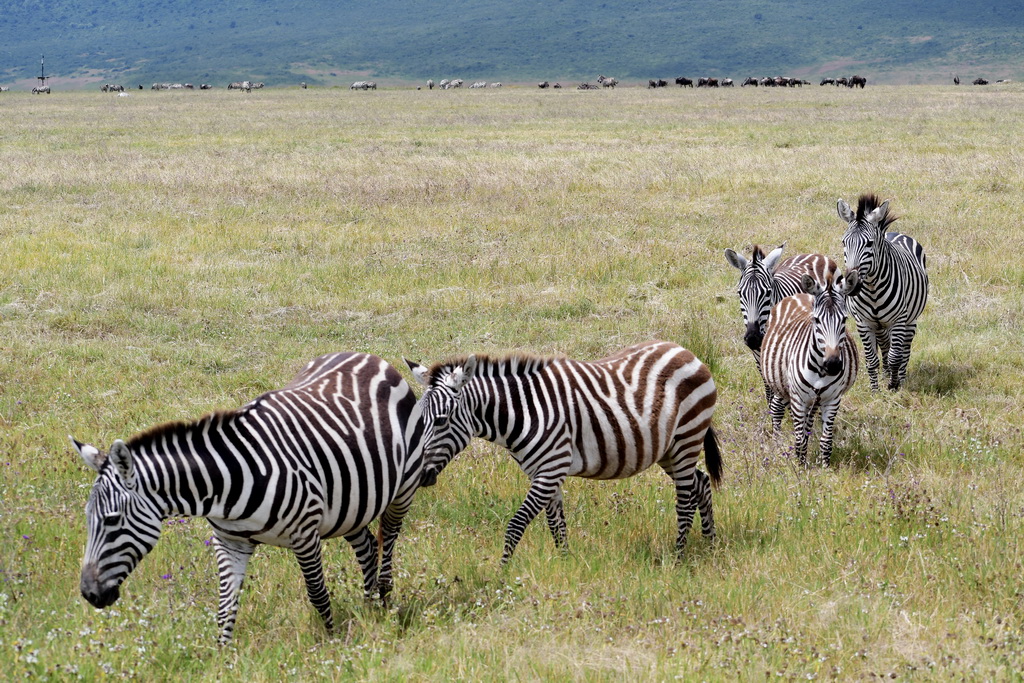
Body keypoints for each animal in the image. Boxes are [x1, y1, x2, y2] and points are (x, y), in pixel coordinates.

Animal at [71, 352, 423, 647]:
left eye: (112, 520)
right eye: (87, 519)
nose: (89, 594)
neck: (225, 486)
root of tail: (369, 356)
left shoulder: (305, 534)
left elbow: (318, 594)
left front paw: (332, 644)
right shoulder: (230, 541)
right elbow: (226, 605)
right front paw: (222, 659)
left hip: (402, 488)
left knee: (389, 538)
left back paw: (385, 601)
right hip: (350, 502)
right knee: (367, 545)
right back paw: (369, 604)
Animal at [403, 339, 724, 561]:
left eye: (441, 420)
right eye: (418, 419)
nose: (420, 476)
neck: (525, 412)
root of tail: (685, 351)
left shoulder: (551, 468)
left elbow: (516, 524)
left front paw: (502, 571)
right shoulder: (544, 472)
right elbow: (556, 525)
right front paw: (565, 562)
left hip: (686, 438)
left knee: (685, 500)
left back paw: (679, 556)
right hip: (668, 449)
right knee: (700, 483)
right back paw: (710, 545)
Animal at [724, 244, 835, 405]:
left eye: (767, 293)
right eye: (740, 293)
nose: (752, 339)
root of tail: (816, 255)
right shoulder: (759, 359)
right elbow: (769, 388)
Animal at [765, 270, 860, 464]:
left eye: (844, 319)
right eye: (816, 320)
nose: (833, 364)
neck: (820, 371)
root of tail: (800, 294)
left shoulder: (833, 399)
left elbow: (826, 440)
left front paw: (825, 466)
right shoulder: (798, 398)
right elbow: (799, 438)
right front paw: (801, 466)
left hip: (811, 397)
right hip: (781, 383)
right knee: (777, 408)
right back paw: (777, 440)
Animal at [839, 194, 929, 393]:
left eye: (869, 243)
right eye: (843, 242)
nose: (851, 284)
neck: (872, 288)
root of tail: (893, 234)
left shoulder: (899, 319)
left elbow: (896, 356)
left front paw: (894, 386)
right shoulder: (863, 322)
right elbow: (871, 359)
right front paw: (875, 390)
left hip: (910, 320)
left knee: (903, 350)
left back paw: (900, 377)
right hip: (879, 324)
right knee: (885, 345)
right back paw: (887, 373)